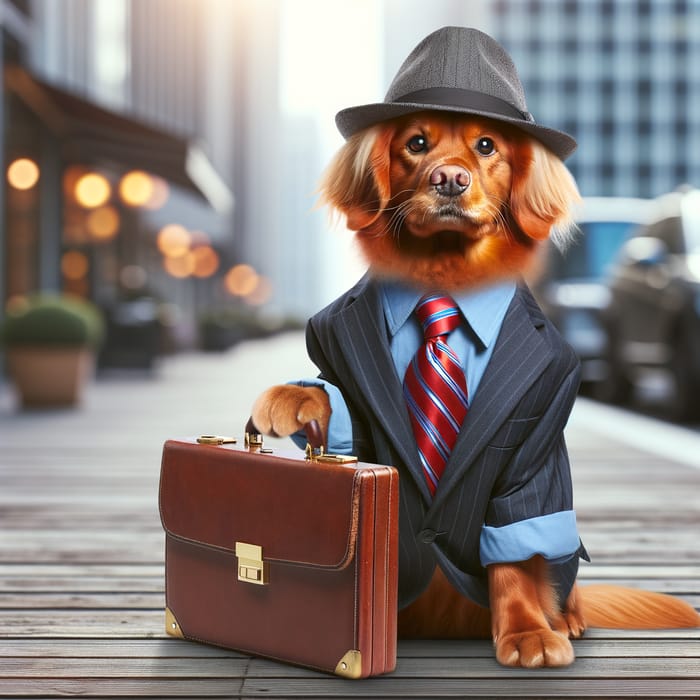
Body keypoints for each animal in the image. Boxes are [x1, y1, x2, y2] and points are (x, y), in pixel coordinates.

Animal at [249, 27, 696, 668]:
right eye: (415, 143)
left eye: (487, 145)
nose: (450, 180)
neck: (446, 279)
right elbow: (340, 407)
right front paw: (292, 396)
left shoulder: (533, 448)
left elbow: (517, 551)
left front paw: (529, 632)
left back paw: (568, 618)